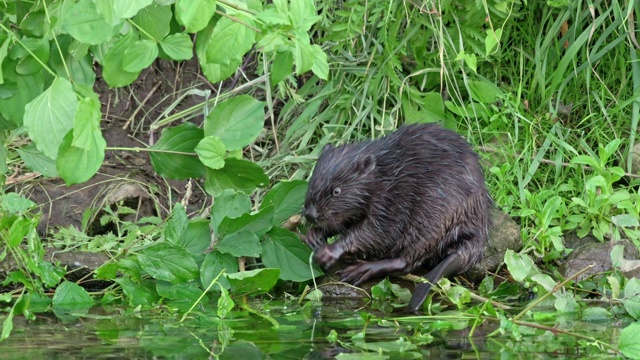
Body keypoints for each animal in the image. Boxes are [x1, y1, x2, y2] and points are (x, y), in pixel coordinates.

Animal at [302, 122, 492, 310]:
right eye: (312, 180)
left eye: (336, 191)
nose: (310, 214)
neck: (384, 173)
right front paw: (314, 235)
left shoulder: (390, 199)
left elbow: (376, 231)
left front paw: (327, 252)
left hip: (433, 218)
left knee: (406, 261)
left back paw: (360, 270)